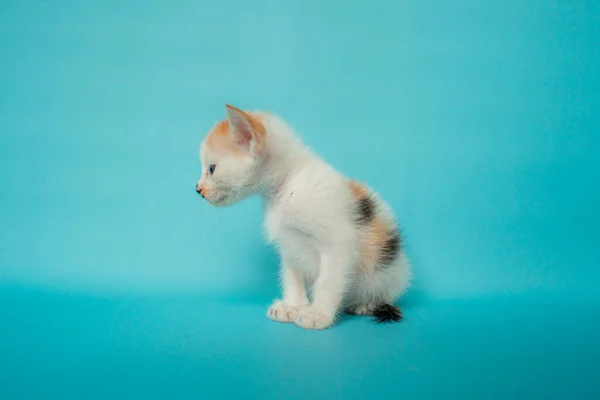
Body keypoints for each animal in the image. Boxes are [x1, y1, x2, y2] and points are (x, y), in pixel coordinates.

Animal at [197, 104, 412, 330]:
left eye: (211, 169)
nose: (197, 189)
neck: (288, 184)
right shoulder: (289, 244)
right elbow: (292, 277)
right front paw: (293, 306)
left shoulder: (339, 243)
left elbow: (328, 281)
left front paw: (318, 314)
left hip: (391, 274)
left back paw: (366, 304)